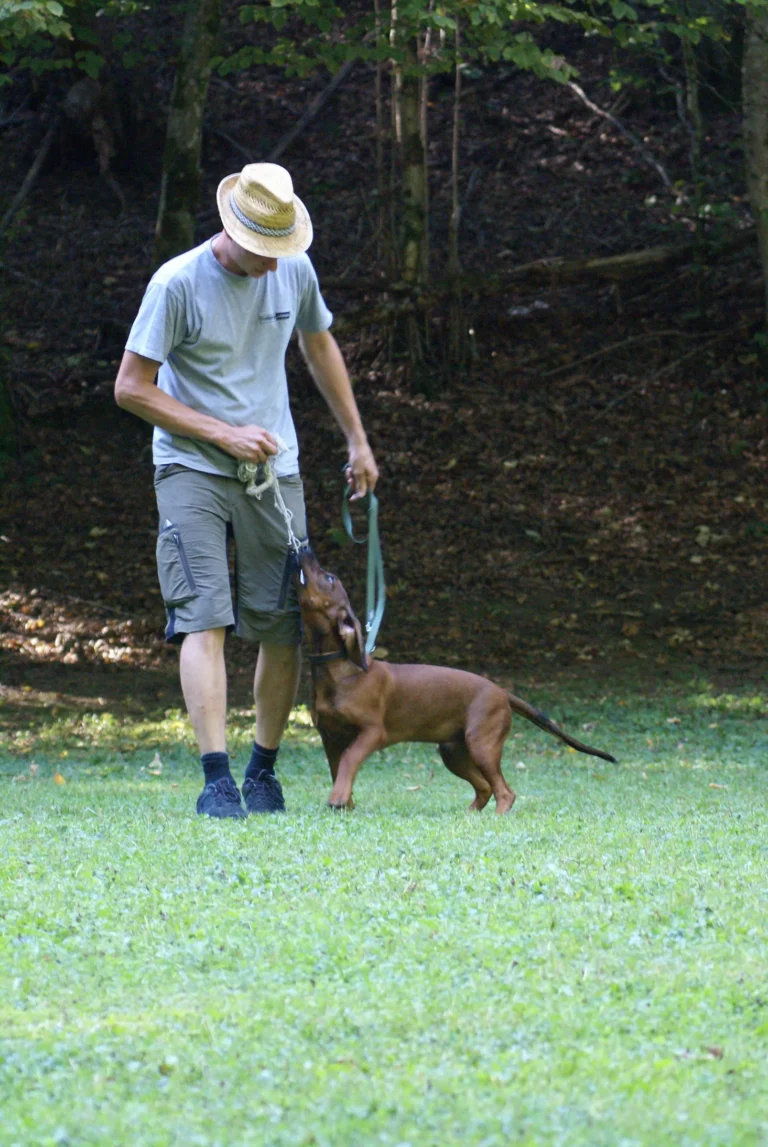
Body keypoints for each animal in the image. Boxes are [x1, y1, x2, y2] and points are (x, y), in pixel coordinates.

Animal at [298, 548, 618, 812]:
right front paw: (345, 803)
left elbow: (349, 760)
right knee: (486, 787)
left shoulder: (373, 732)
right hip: (453, 751)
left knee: (505, 792)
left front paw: (338, 799)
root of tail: (502, 692)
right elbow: (338, 768)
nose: (304, 550)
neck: (339, 670)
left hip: (481, 745)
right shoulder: (329, 737)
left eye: (328, 577)